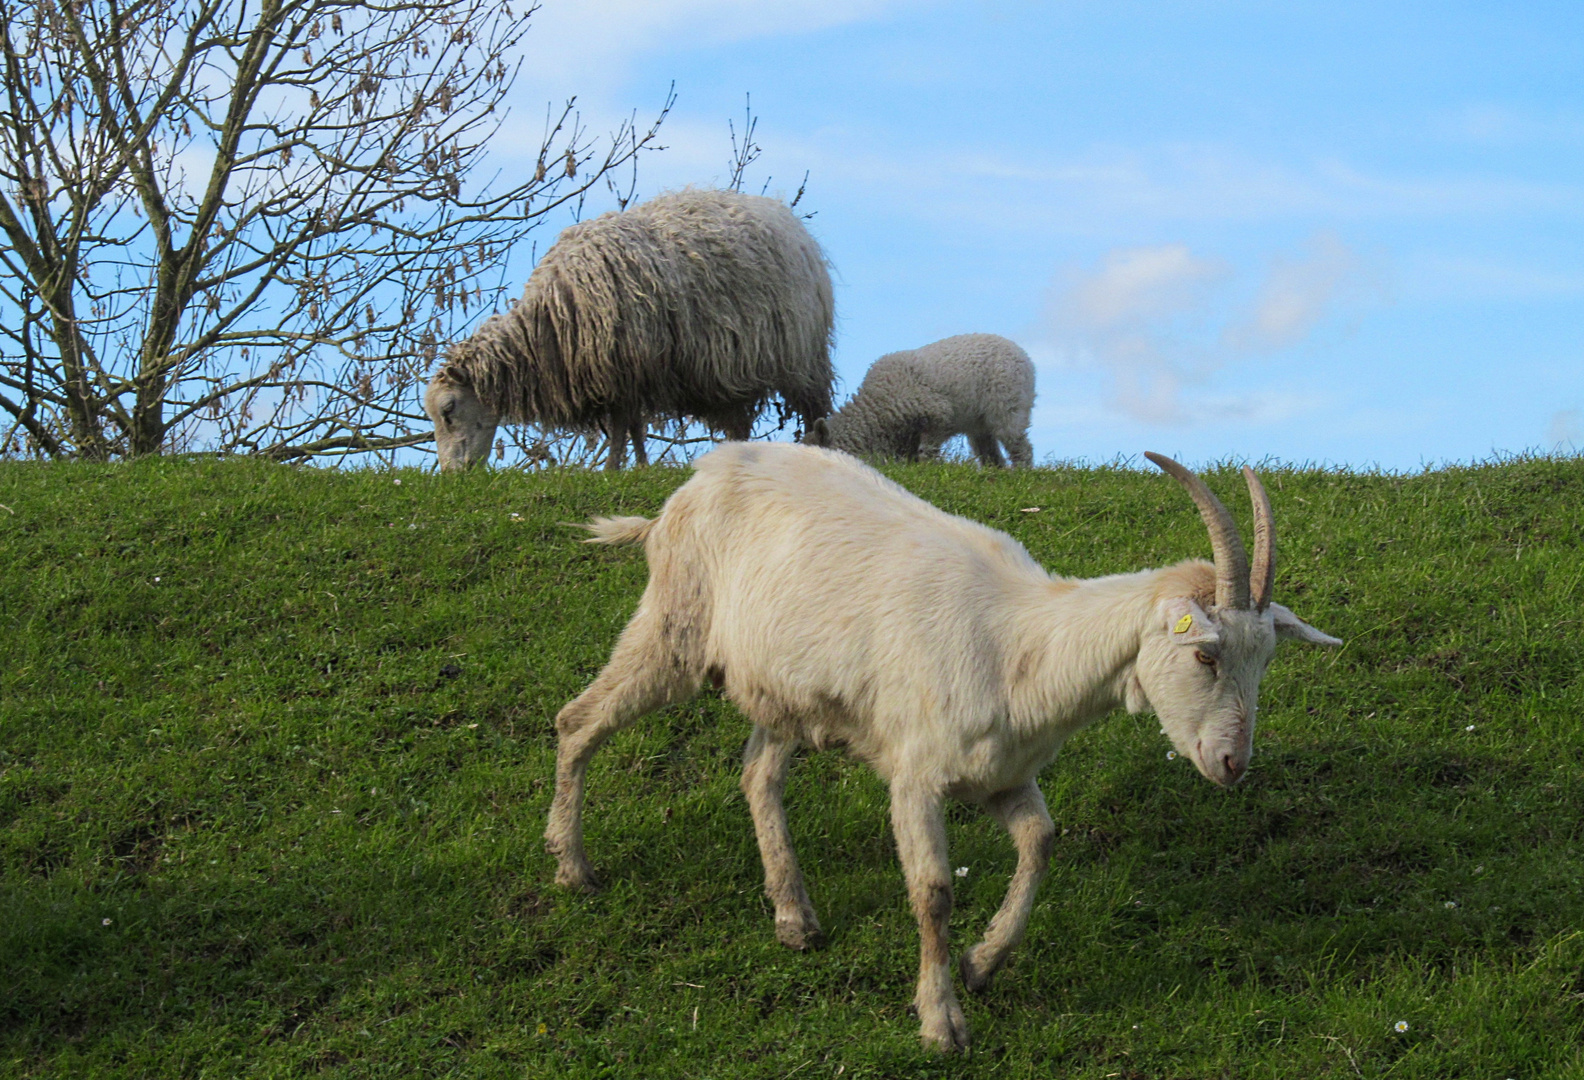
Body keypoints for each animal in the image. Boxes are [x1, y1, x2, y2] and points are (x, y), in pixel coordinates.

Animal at [421, 183, 842, 465]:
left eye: (449, 409)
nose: (453, 474)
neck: (550, 325)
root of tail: (788, 219)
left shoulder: (626, 366)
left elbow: (623, 428)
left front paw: (612, 468)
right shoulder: (628, 377)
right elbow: (634, 427)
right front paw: (637, 466)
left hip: (802, 354)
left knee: (815, 406)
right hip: (735, 371)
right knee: (739, 423)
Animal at [541, 440, 1336, 1051]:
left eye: (1265, 660)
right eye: (1204, 654)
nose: (1232, 764)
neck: (1021, 645)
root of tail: (684, 492)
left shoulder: (1003, 776)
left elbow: (1041, 842)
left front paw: (984, 963)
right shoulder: (915, 775)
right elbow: (932, 892)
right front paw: (941, 1020)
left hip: (786, 690)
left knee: (757, 774)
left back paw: (795, 918)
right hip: (674, 628)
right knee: (577, 720)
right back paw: (572, 866)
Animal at [804, 332, 1039, 465]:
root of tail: (1022, 354)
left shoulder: (937, 417)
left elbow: (927, 451)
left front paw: (928, 468)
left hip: (1008, 406)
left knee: (1019, 445)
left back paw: (1021, 472)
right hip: (979, 424)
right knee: (990, 452)